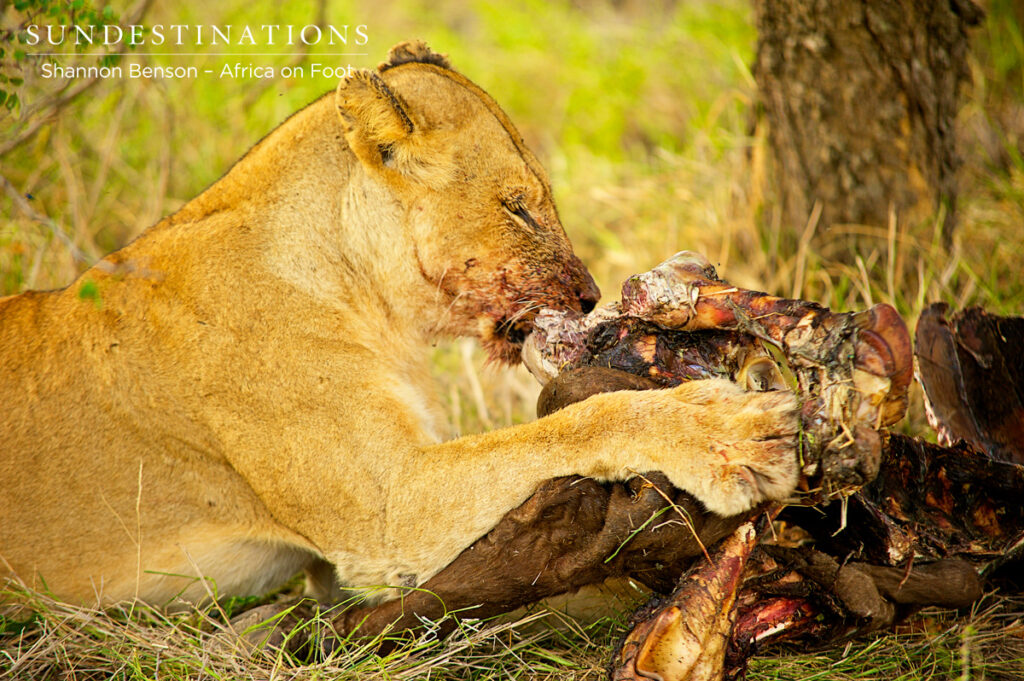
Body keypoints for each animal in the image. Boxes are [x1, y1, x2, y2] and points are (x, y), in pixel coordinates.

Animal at [0, 41, 799, 613]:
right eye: (518, 206)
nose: (591, 293)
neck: (373, 305)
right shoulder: (389, 515)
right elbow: (572, 426)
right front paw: (729, 435)